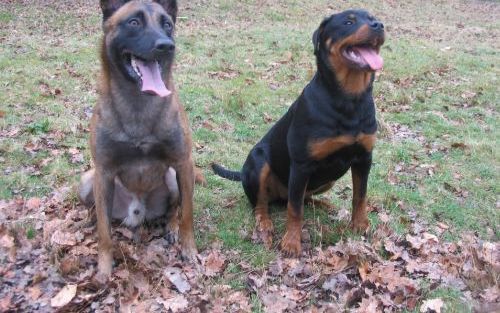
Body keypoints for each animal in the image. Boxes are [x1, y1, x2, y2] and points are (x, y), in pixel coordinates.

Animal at [77, 0, 196, 278]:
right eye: (134, 22)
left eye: (167, 24)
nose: (166, 45)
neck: (139, 102)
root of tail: (138, 212)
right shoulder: (104, 172)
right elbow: (105, 233)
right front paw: (104, 269)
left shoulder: (183, 163)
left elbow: (187, 214)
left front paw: (189, 248)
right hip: (88, 182)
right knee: (99, 212)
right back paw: (92, 219)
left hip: (173, 178)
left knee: (175, 209)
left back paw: (171, 228)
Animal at [213, 9, 384, 256]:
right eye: (348, 22)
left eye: (372, 18)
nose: (379, 25)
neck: (349, 98)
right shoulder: (302, 165)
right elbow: (294, 210)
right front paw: (292, 242)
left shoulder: (364, 158)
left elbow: (359, 196)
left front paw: (360, 225)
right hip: (259, 161)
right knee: (263, 203)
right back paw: (264, 222)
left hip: (327, 181)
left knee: (301, 198)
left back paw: (324, 204)